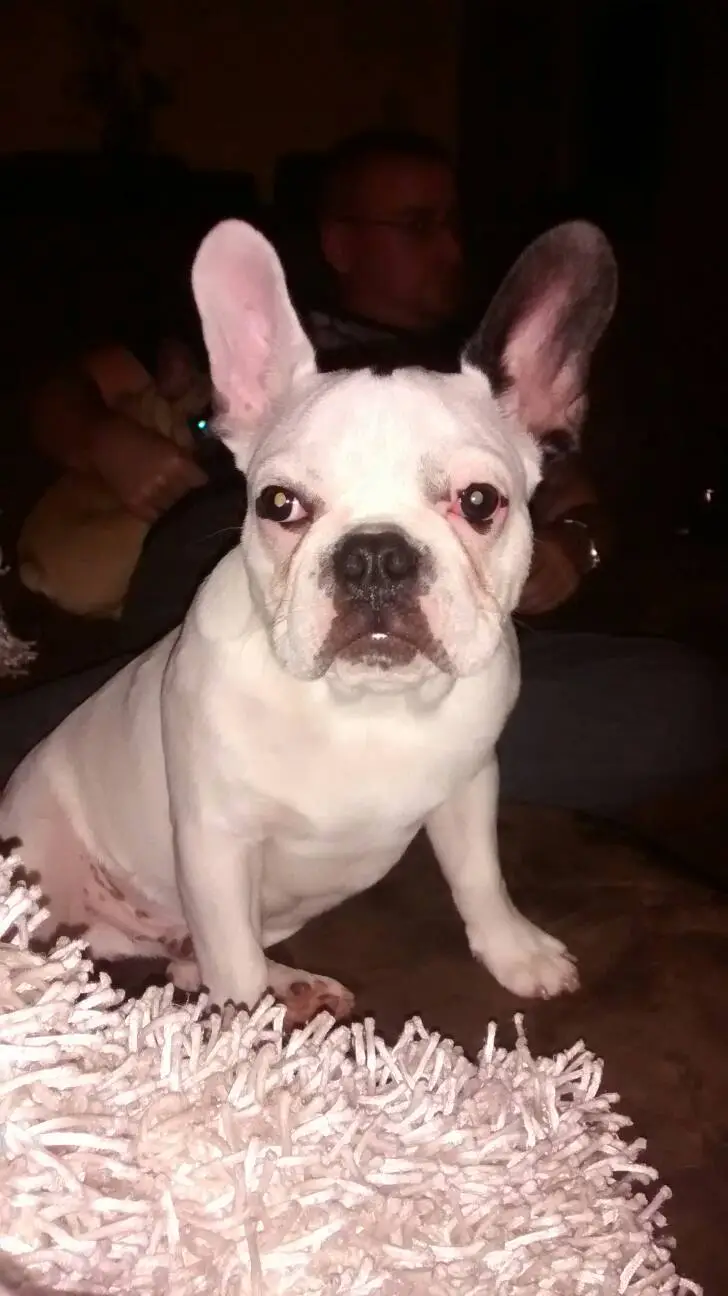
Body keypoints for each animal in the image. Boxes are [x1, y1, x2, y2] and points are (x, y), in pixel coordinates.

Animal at [0, 218, 617, 1023]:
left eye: (481, 502)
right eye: (279, 504)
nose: (376, 555)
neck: (363, 705)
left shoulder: (470, 787)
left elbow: (479, 876)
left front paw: (513, 950)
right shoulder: (217, 846)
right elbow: (232, 966)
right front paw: (248, 1043)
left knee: (191, 962)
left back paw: (290, 987)